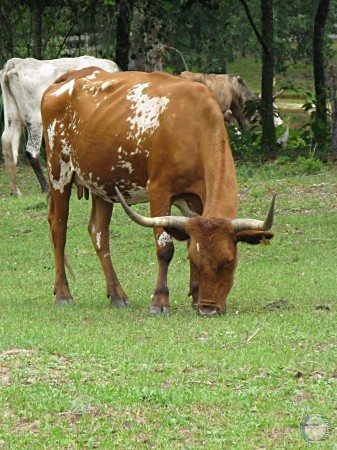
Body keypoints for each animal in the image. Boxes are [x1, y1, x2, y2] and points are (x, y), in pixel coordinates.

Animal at [0, 55, 119, 196]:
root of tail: (17, 62)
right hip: (34, 119)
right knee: (31, 151)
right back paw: (45, 187)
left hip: (13, 118)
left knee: (8, 146)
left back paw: (15, 190)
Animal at [40, 68, 274, 318]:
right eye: (195, 260)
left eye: (229, 261)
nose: (208, 309)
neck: (196, 125)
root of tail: (71, 76)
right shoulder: (160, 191)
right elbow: (165, 248)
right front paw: (160, 301)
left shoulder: (196, 202)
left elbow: (189, 238)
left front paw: (195, 295)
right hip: (59, 171)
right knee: (59, 228)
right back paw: (63, 294)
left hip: (102, 183)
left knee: (99, 233)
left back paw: (117, 296)